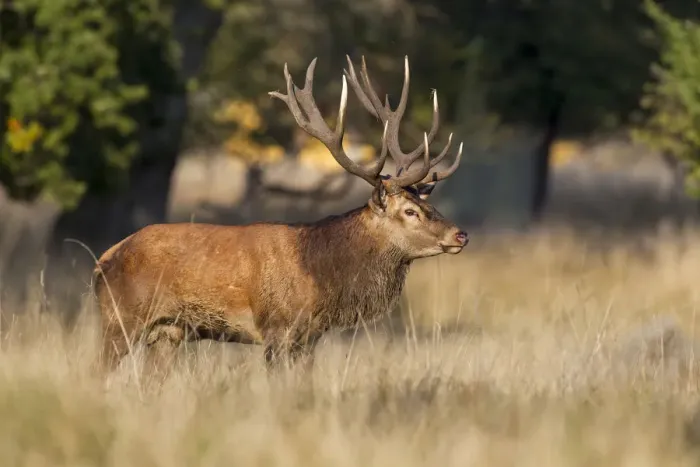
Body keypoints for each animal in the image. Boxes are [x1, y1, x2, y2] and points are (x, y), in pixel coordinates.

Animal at [93, 55, 468, 375]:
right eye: (410, 211)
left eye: (430, 205)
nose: (460, 234)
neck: (320, 275)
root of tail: (104, 258)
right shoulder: (277, 328)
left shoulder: (310, 336)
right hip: (119, 319)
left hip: (168, 331)